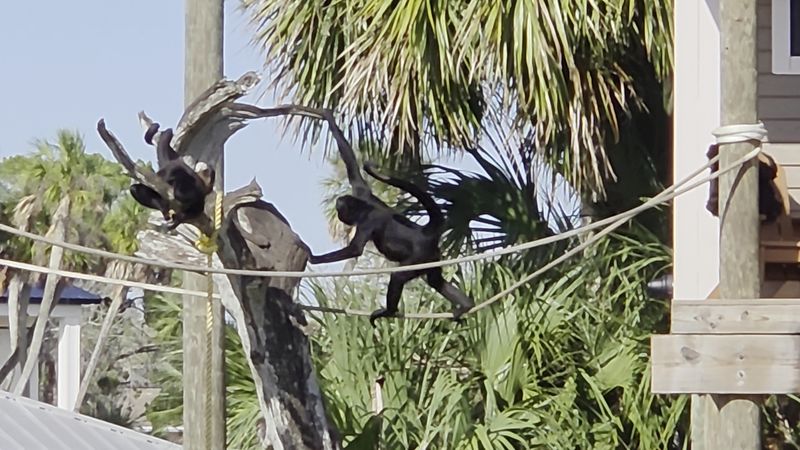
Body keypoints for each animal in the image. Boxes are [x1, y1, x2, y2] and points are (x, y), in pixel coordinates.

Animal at [308, 158, 475, 326]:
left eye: (339, 210)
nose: (338, 214)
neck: (366, 208)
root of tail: (425, 231)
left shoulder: (368, 221)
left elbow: (355, 249)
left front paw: (312, 257)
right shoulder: (365, 195)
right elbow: (355, 174)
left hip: (419, 257)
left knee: (398, 277)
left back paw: (389, 311)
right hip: (432, 257)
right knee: (435, 281)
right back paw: (466, 305)